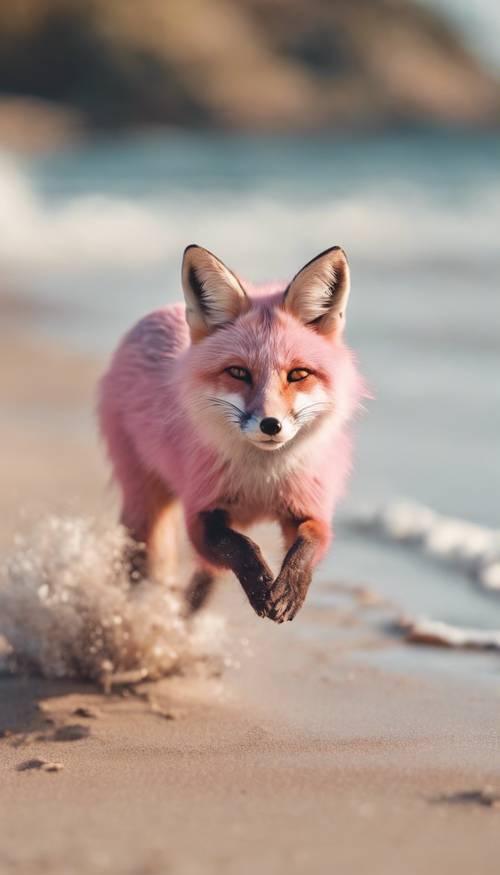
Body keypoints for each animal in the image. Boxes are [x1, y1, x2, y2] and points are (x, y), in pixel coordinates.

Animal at [97, 246, 364, 624]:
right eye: (238, 372)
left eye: (298, 374)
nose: (271, 425)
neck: (261, 481)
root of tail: (161, 312)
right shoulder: (201, 512)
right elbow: (241, 547)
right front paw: (262, 585)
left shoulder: (309, 506)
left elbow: (308, 544)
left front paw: (288, 589)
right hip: (144, 504)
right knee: (143, 567)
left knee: (204, 582)